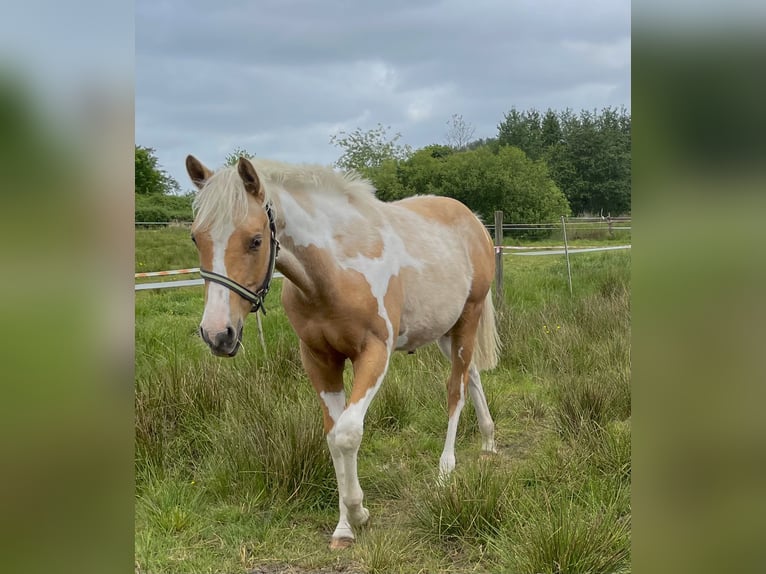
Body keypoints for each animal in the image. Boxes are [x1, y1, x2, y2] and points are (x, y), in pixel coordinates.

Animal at [186, 155, 500, 549]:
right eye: (196, 237)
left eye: (255, 240)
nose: (217, 334)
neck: (333, 271)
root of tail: (473, 221)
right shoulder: (319, 359)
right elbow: (333, 438)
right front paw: (344, 527)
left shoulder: (374, 353)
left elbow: (348, 433)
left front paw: (359, 513)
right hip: (446, 330)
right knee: (472, 374)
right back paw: (488, 439)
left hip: (468, 319)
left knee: (456, 389)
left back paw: (445, 470)